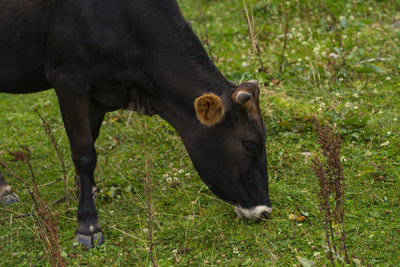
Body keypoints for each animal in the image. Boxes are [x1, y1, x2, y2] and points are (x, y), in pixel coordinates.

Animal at [0, 0, 272, 249]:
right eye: (250, 144)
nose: (264, 210)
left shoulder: (101, 91)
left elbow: (91, 139)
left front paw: (85, 189)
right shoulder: (68, 79)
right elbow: (84, 154)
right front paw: (88, 225)